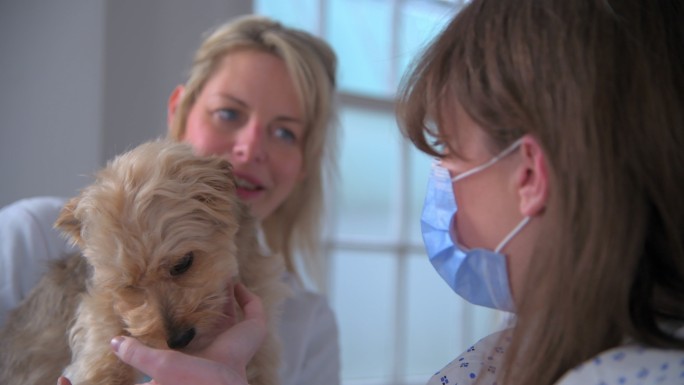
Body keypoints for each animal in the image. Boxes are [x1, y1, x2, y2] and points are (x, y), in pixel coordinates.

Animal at [0, 140, 284, 384]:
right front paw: (106, 376)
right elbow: (105, 324)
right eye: (127, 286)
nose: (179, 340)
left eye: (183, 263)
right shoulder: (99, 297)